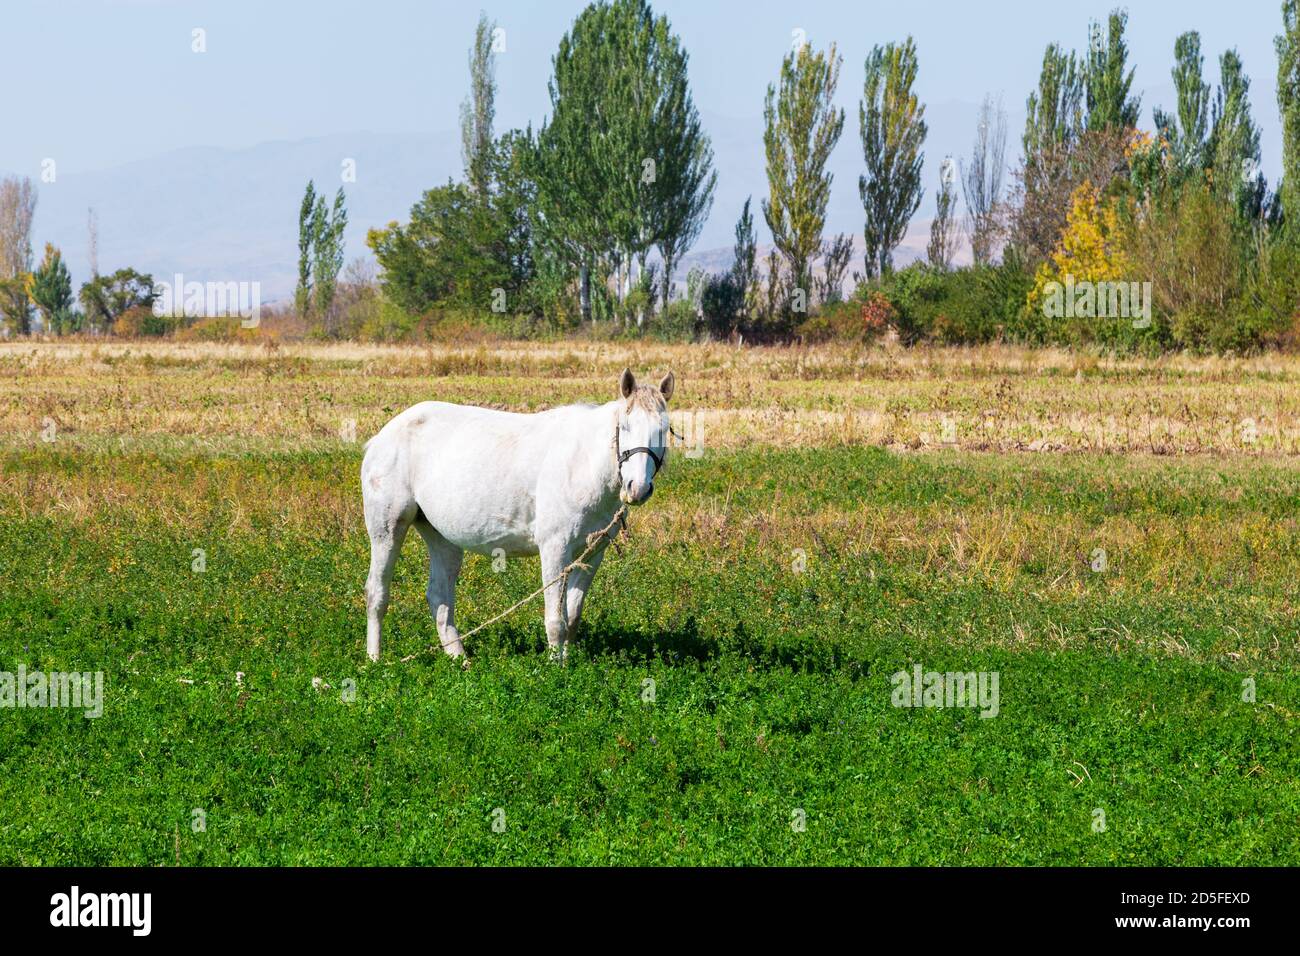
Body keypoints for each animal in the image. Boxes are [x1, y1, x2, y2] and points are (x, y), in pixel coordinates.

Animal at [360, 367, 675, 663]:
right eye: (626, 427)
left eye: (664, 429)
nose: (637, 488)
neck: (582, 463)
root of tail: (382, 436)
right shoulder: (554, 548)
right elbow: (555, 620)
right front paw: (556, 669)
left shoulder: (593, 552)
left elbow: (573, 616)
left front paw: (570, 661)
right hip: (387, 528)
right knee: (377, 592)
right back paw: (375, 660)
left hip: (442, 537)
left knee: (439, 596)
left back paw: (460, 660)